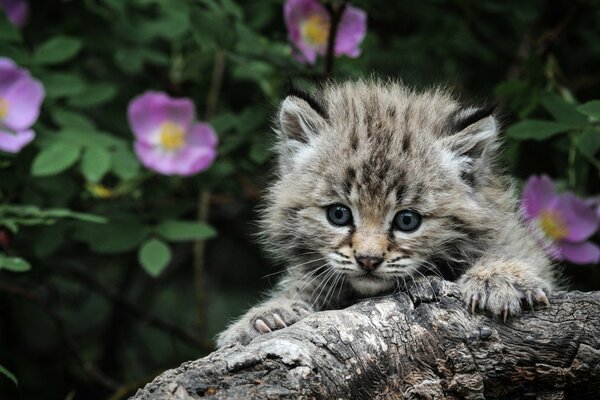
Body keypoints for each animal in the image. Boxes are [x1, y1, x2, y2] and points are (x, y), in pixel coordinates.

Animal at [216, 81, 552, 346]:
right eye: (338, 214)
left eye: (407, 220)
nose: (367, 260)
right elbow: (303, 284)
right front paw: (269, 316)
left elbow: (512, 250)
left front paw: (499, 278)